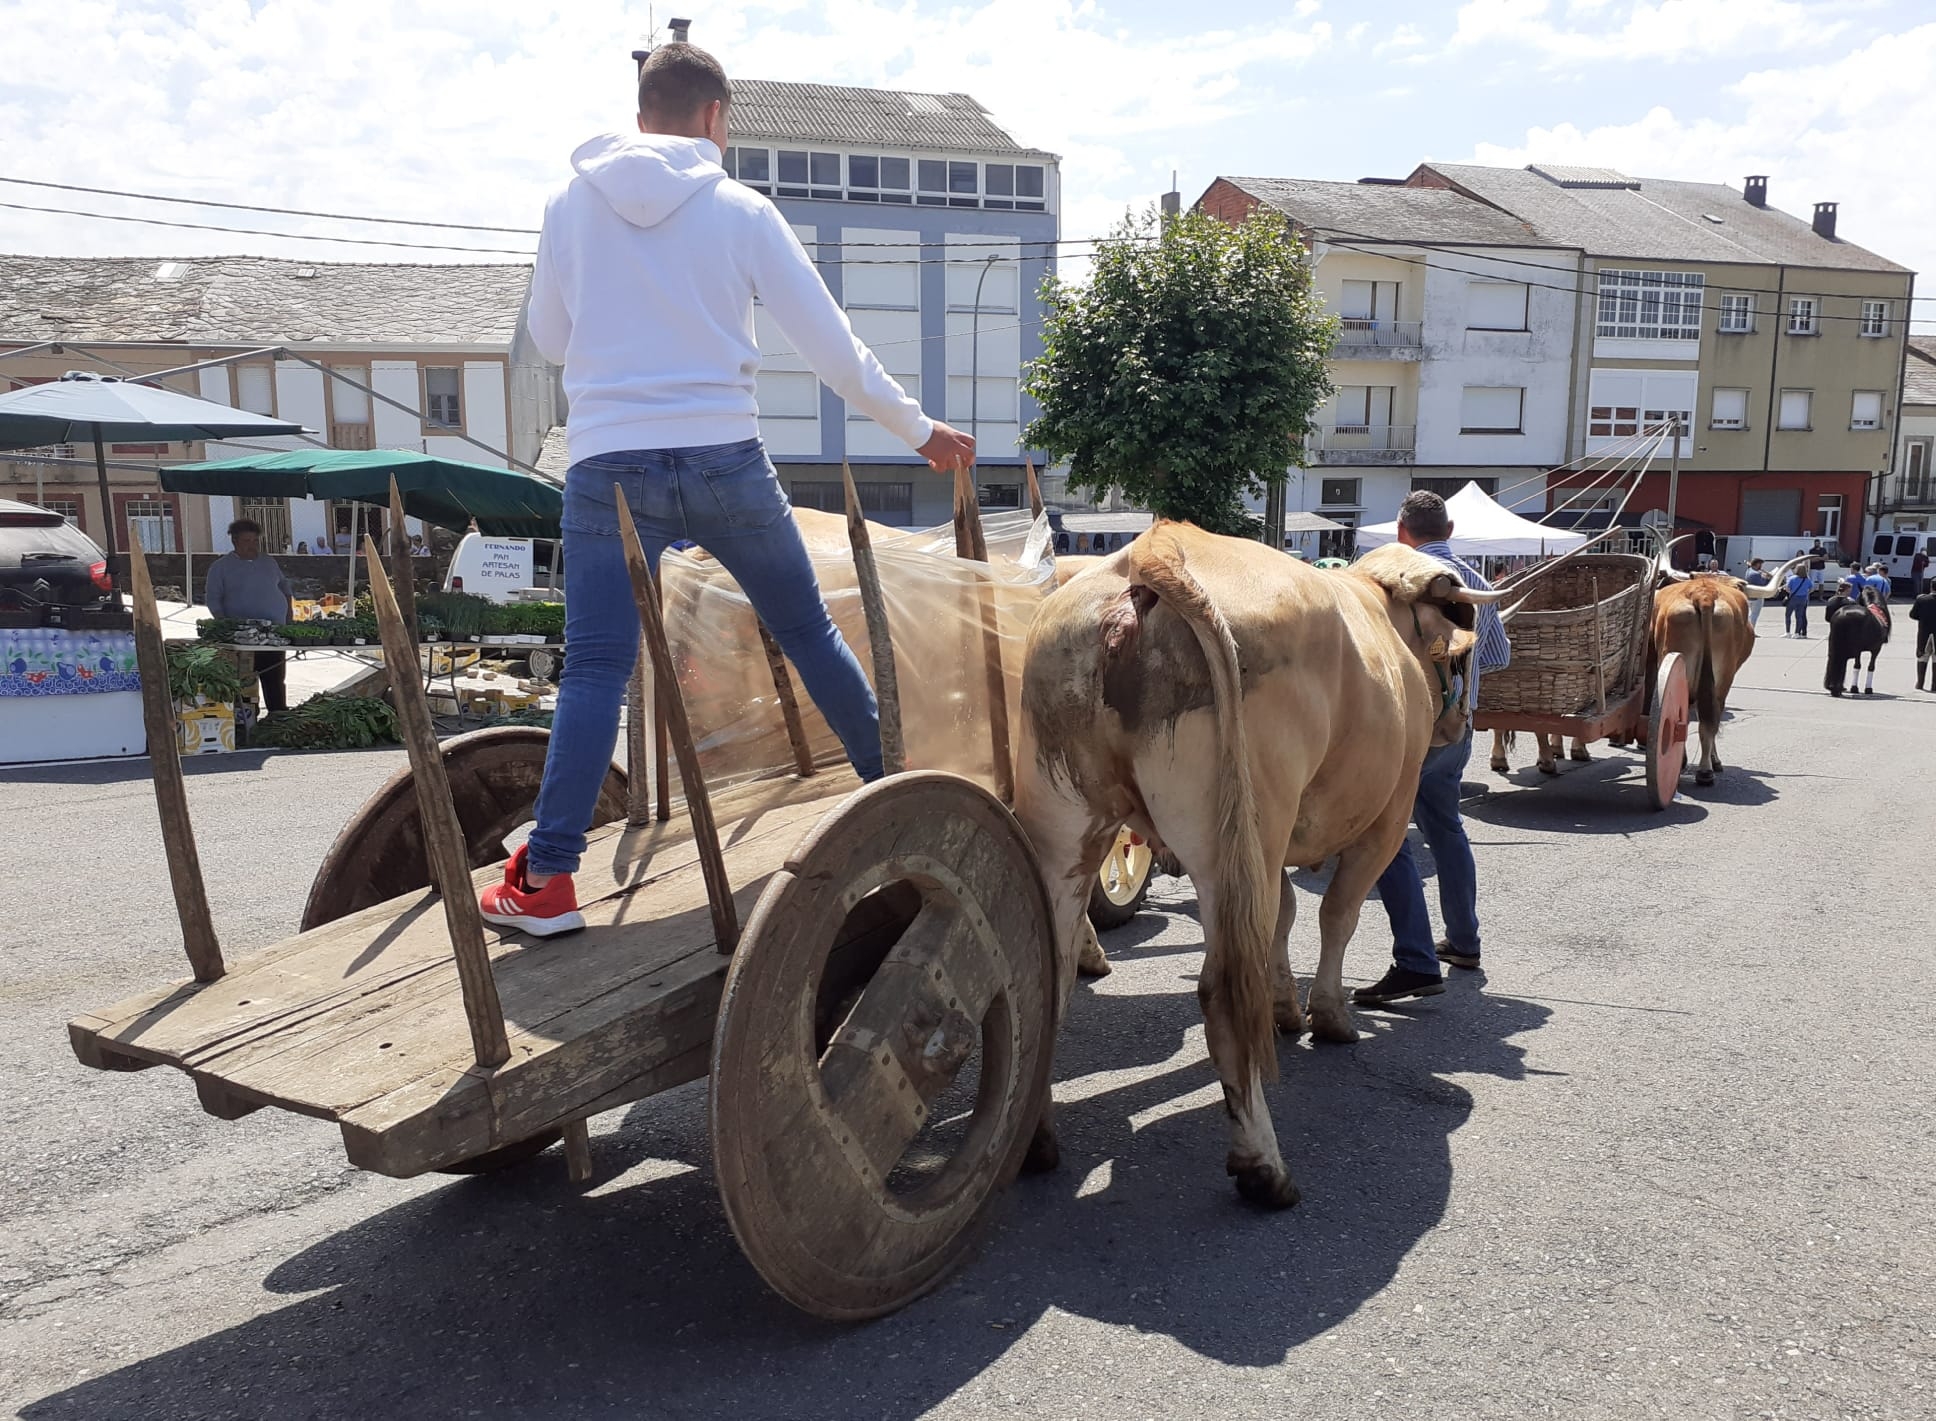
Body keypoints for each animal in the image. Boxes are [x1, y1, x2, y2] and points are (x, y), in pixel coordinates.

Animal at [1013, 523, 1506, 1208]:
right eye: (1460, 652)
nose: (1461, 724)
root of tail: (1153, 548)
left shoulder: (1276, 852)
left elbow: (1283, 916)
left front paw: (1283, 1008)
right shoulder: (1385, 818)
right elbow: (1336, 915)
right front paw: (1329, 1015)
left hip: (1073, 826)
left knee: (1051, 979)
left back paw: (1036, 1141)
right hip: (1234, 831)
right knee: (1221, 988)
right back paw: (1263, 1167)